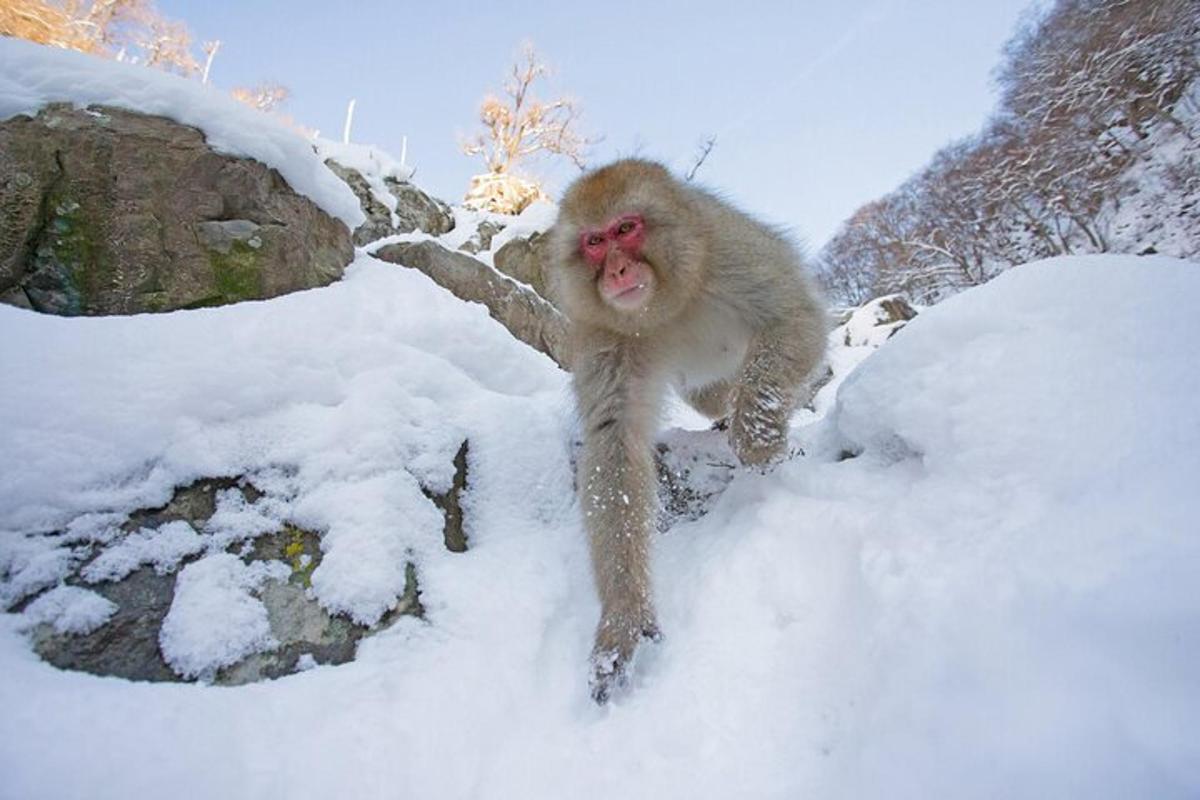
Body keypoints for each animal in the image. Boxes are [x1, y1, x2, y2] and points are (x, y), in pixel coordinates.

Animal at [544, 158, 825, 700]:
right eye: (594, 242)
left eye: (626, 229)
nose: (617, 271)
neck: (666, 307)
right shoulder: (605, 335)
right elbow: (614, 442)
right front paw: (623, 617)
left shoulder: (730, 250)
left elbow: (794, 314)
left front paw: (760, 440)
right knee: (711, 393)